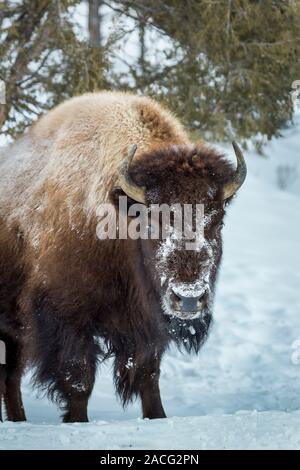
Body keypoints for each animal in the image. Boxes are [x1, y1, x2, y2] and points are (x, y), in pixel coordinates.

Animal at [0, 92, 246, 422]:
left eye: (217, 222)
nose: (189, 298)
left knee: (9, 376)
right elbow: (79, 379)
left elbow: (148, 376)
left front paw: (157, 416)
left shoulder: (147, 325)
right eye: (153, 221)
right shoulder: (65, 316)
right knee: (11, 376)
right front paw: (76, 421)